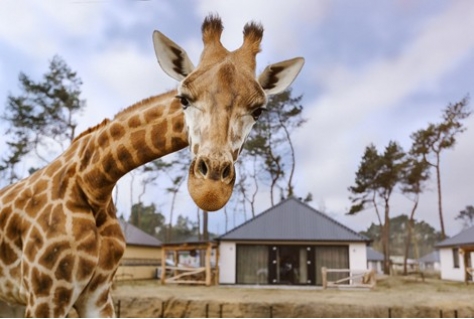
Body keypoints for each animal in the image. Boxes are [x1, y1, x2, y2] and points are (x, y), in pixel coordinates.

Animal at [0, 14, 304, 318]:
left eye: (258, 111)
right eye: (184, 98)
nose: (210, 190)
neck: (94, 183)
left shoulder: (97, 294)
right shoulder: (46, 294)